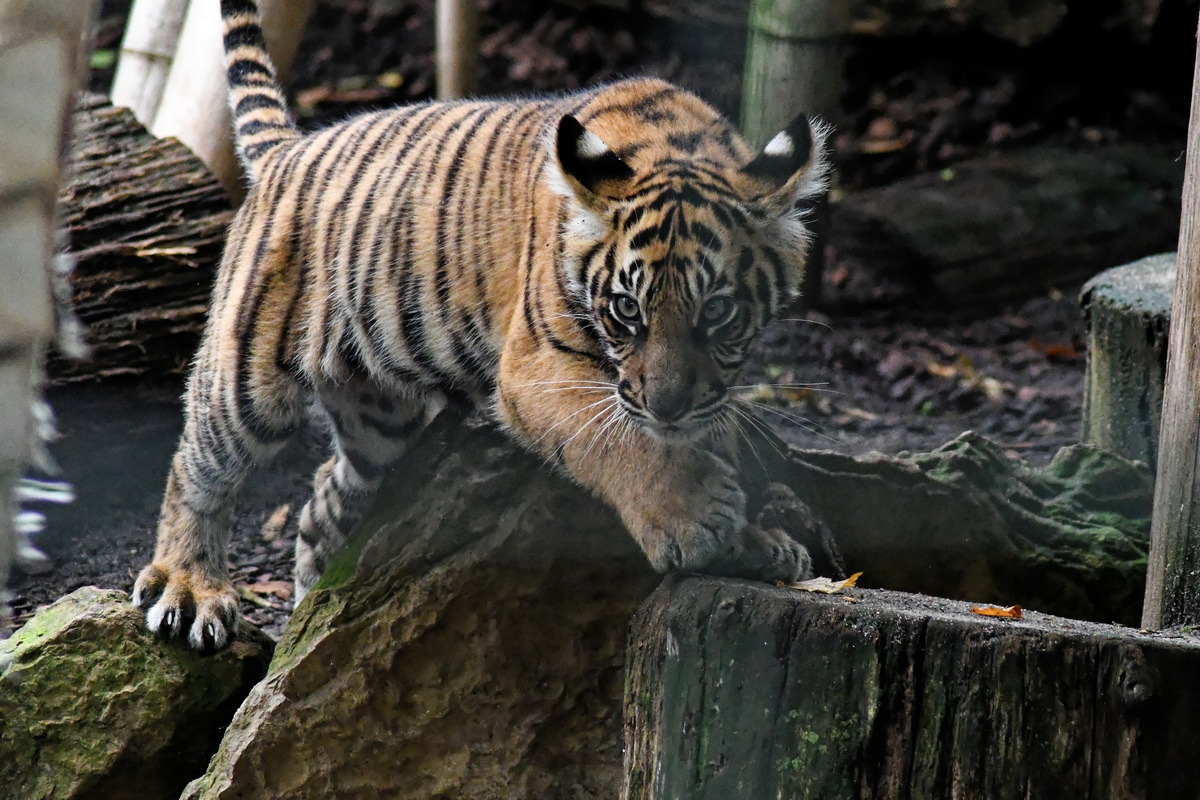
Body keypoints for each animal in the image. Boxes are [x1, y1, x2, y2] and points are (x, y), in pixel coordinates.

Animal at [131, 0, 831, 651]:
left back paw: (309, 606)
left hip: (380, 422)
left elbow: (699, 436)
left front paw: (755, 542)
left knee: (328, 489)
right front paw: (695, 518)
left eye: (717, 310)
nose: (668, 408)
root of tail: (289, 149)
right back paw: (190, 589)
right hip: (246, 378)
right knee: (196, 467)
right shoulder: (536, 369)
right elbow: (618, 441)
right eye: (627, 309)